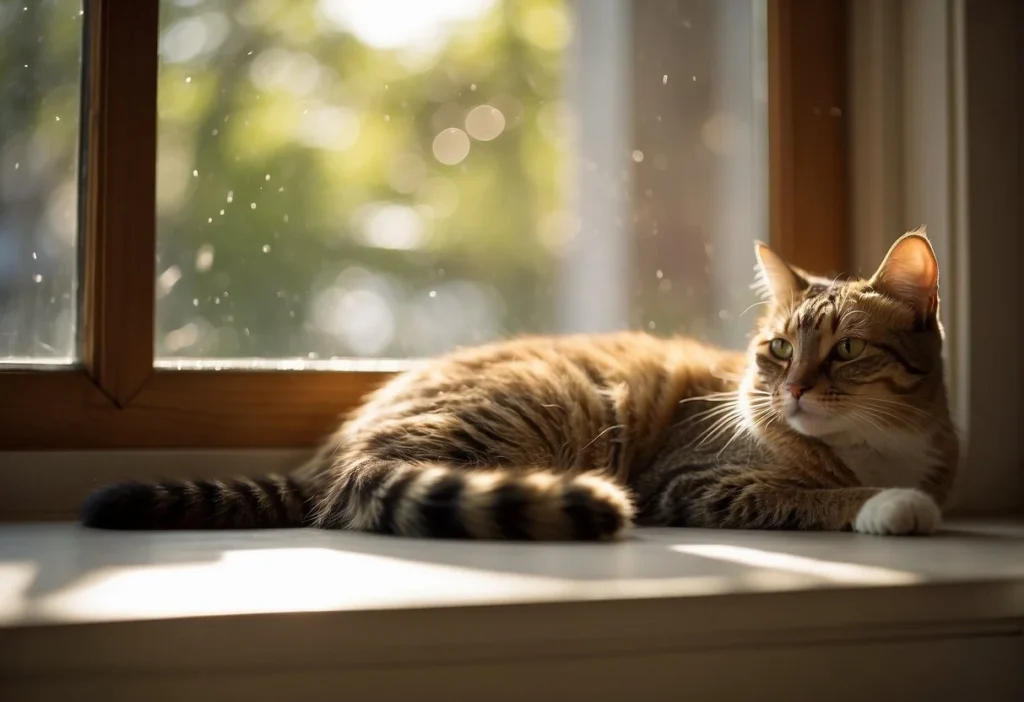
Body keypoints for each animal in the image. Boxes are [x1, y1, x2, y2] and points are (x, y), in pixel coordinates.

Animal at [81, 231, 958, 540]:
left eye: (846, 351)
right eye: (777, 350)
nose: (794, 392)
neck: (869, 442)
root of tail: (331, 457)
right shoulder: (694, 480)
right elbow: (814, 494)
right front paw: (888, 505)